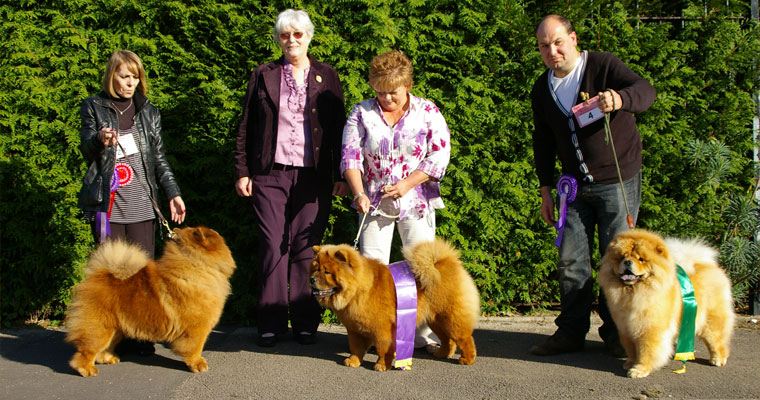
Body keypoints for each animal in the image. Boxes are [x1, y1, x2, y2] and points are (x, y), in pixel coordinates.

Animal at [67, 227, 236, 376]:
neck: (196, 269)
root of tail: (97, 276)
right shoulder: (196, 328)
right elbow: (195, 348)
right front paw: (198, 364)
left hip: (115, 329)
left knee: (105, 347)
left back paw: (109, 358)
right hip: (99, 328)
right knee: (85, 351)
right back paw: (88, 370)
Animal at [308, 238, 476, 372]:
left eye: (327, 272)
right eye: (315, 269)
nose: (311, 279)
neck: (360, 289)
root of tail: (445, 262)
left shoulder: (383, 328)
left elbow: (383, 348)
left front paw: (381, 366)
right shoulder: (355, 329)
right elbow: (356, 347)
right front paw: (353, 361)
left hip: (450, 317)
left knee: (464, 338)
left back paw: (466, 359)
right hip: (436, 320)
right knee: (448, 339)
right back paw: (442, 353)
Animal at [604, 228, 732, 378]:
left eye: (641, 259)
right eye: (621, 258)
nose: (627, 262)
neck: (633, 293)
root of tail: (708, 265)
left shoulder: (649, 329)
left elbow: (646, 351)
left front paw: (639, 370)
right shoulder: (626, 328)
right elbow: (631, 349)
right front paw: (630, 363)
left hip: (710, 322)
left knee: (717, 341)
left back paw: (718, 359)